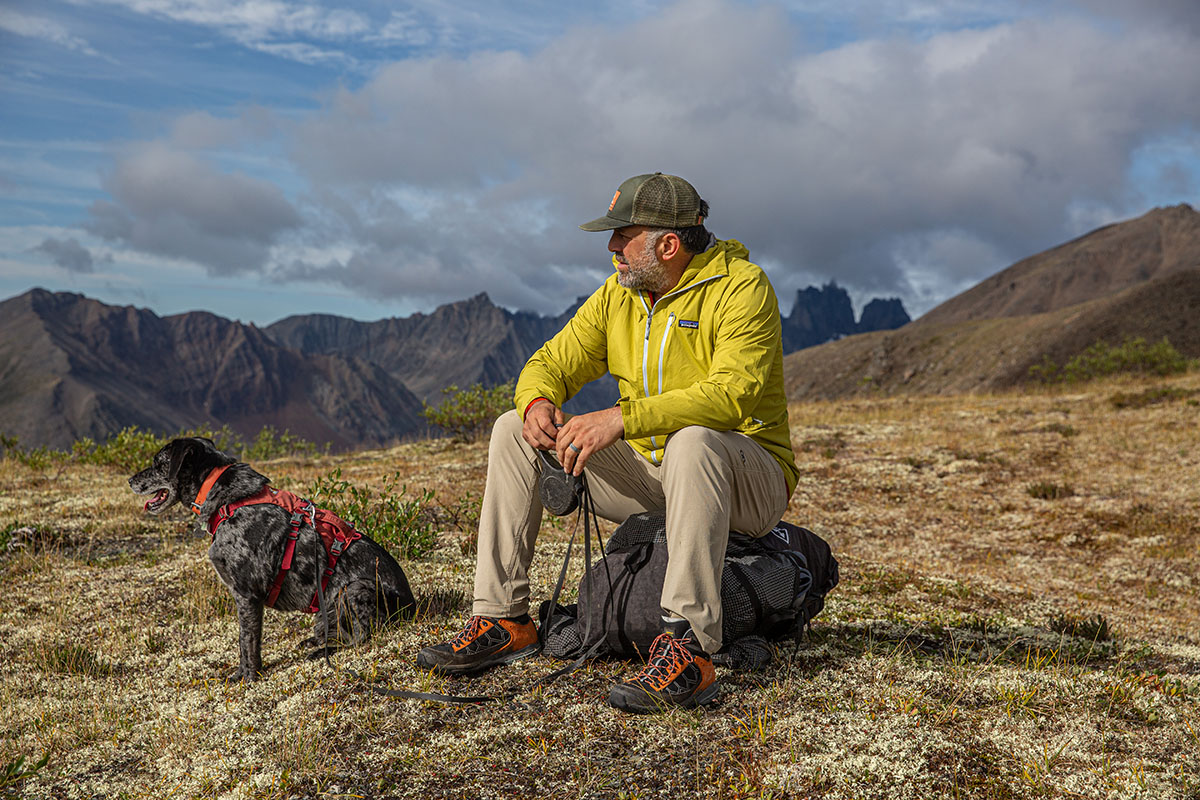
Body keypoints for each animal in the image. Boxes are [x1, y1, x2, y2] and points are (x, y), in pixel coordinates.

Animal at [131, 438, 417, 681]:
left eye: (158, 463)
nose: (130, 480)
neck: (229, 501)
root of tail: (412, 607)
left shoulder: (247, 595)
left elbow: (246, 642)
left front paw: (247, 677)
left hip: (355, 589)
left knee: (361, 637)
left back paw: (324, 652)